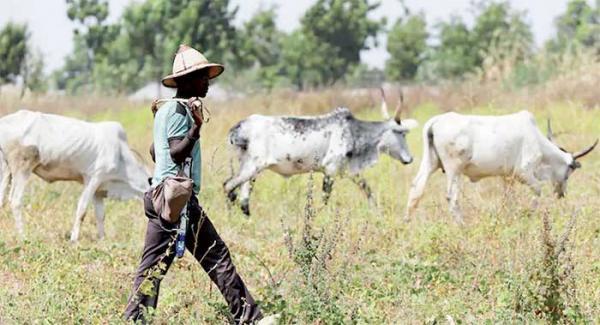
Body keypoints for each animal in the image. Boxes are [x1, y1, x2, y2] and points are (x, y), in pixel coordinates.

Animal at [224, 89, 418, 215]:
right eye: (402, 133)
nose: (410, 159)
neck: (352, 131)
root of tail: (240, 126)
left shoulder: (348, 170)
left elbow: (366, 188)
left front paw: (377, 212)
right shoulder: (330, 170)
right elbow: (325, 197)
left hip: (249, 166)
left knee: (243, 195)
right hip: (254, 166)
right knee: (228, 186)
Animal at [406, 109, 596, 223]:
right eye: (569, 170)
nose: (561, 194)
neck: (538, 141)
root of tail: (437, 121)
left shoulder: (507, 177)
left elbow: (508, 198)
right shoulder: (523, 173)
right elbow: (538, 190)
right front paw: (529, 214)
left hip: (430, 163)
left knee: (416, 188)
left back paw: (407, 222)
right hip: (454, 169)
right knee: (451, 197)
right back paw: (462, 225)